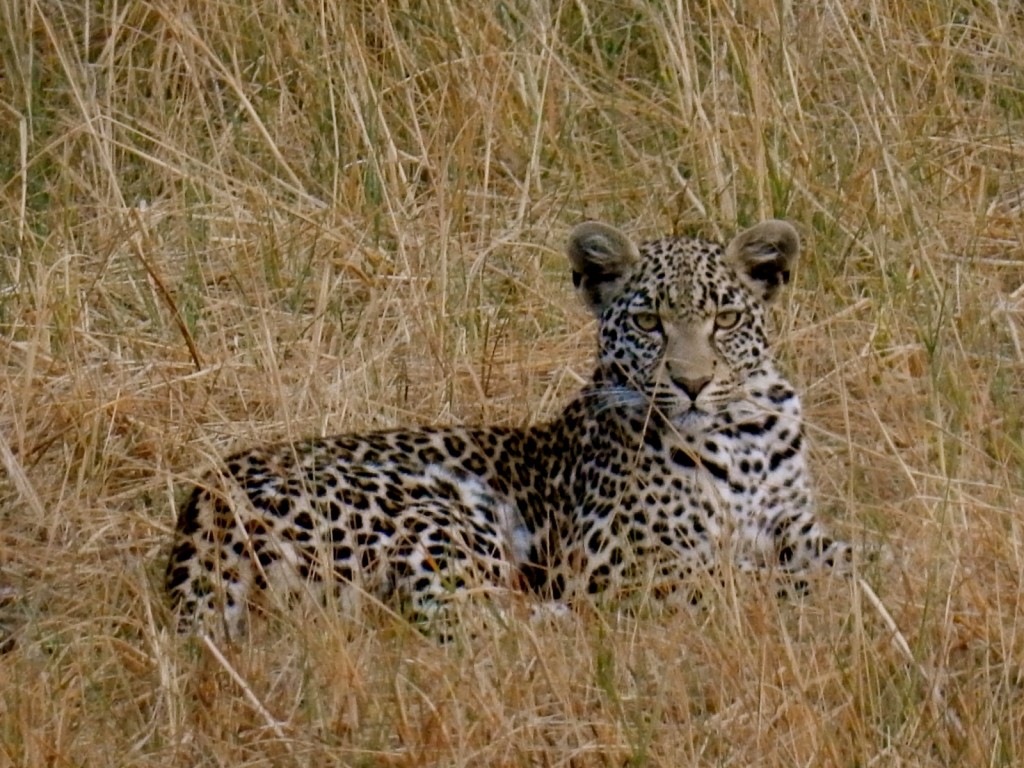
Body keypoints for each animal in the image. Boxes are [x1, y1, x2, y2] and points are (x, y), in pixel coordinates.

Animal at [165, 219, 856, 638]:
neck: (743, 438)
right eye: (649, 323)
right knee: (462, 621)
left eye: (727, 318)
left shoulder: (797, 527)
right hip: (438, 509)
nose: (691, 382)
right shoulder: (625, 562)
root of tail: (206, 500)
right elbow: (744, 582)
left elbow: (851, 555)